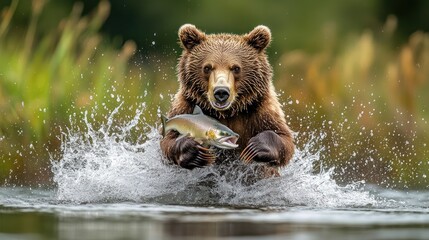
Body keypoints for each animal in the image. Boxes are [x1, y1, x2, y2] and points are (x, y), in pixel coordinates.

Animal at [160, 23, 294, 174]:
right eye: (207, 68)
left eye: (236, 68)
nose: (221, 92)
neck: (228, 112)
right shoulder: (185, 105)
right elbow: (168, 141)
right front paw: (195, 151)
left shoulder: (260, 109)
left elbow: (283, 137)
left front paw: (254, 147)